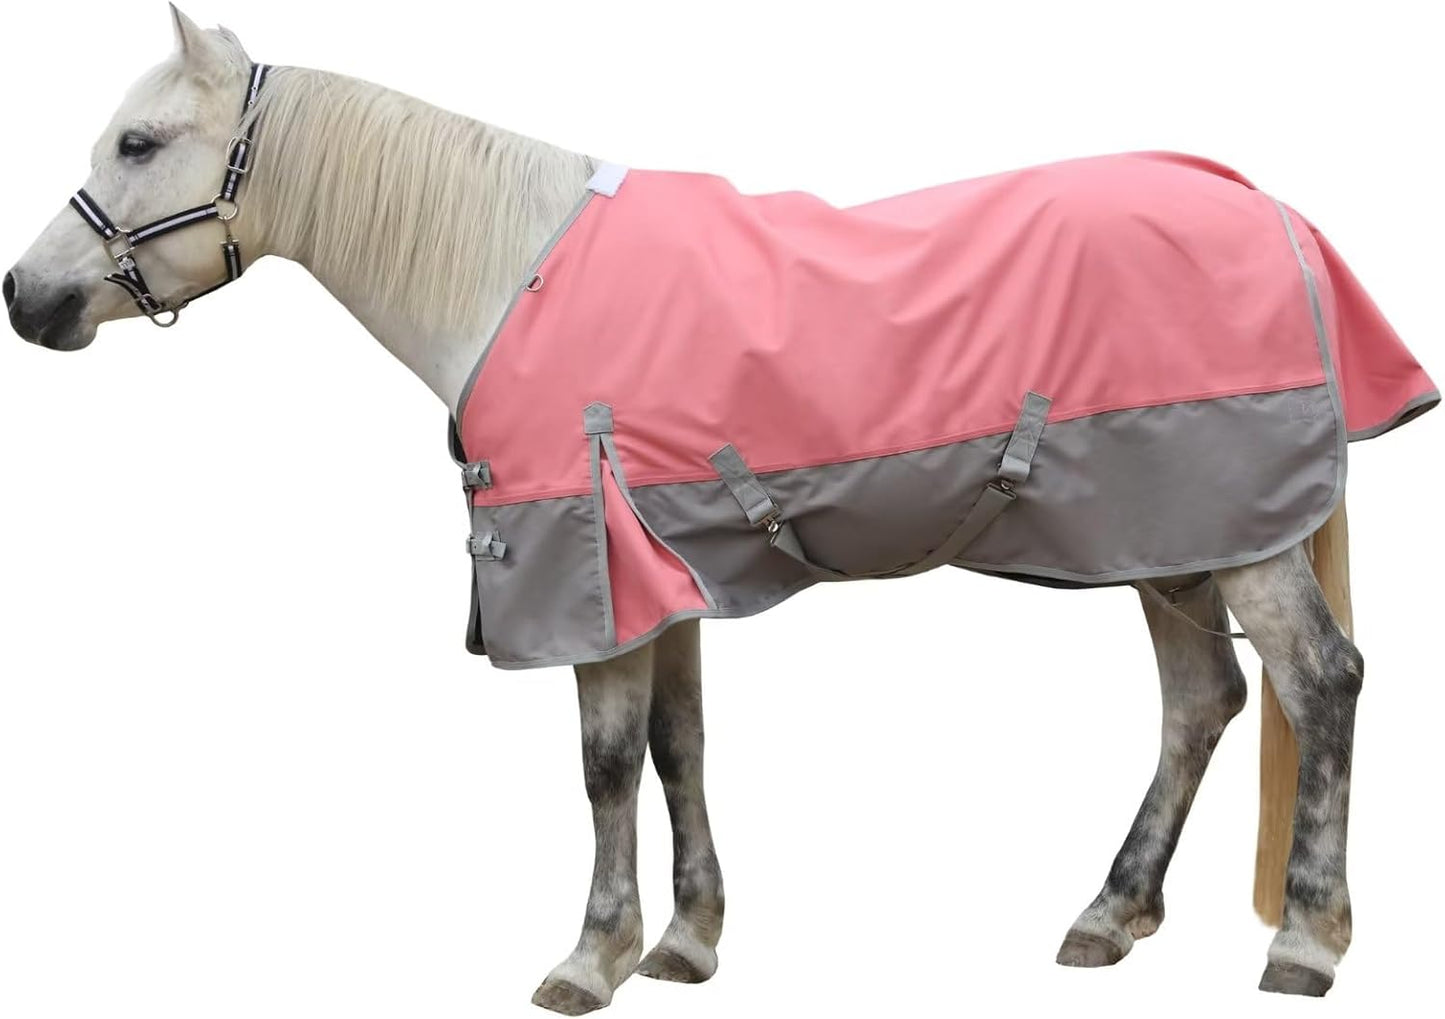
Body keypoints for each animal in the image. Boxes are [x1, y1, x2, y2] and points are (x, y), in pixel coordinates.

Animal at [5, 8, 1437, 1012]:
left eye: (139, 145)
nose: (28, 298)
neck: (507, 272)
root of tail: (1266, 210)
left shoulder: (585, 577)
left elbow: (600, 765)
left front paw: (588, 957)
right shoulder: (663, 577)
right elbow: (677, 749)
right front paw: (687, 943)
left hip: (1235, 535)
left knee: (1320, 682)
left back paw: (1305, 938)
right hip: (1171, 537)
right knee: (1202, 699)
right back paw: (1108, 912)